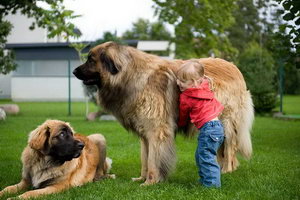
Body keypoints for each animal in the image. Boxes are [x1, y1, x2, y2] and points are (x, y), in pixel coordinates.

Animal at [72, 41, 253, 186]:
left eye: (91, 60)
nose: (74, 71)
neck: (130, 75)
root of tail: (234, 67)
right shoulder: (145, 134)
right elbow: (145, 159)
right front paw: (142, 178)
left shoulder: (156, 131)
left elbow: (153, 160)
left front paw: (150, 182)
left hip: (226, 122)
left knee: (229, 148)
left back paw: (227, 170)